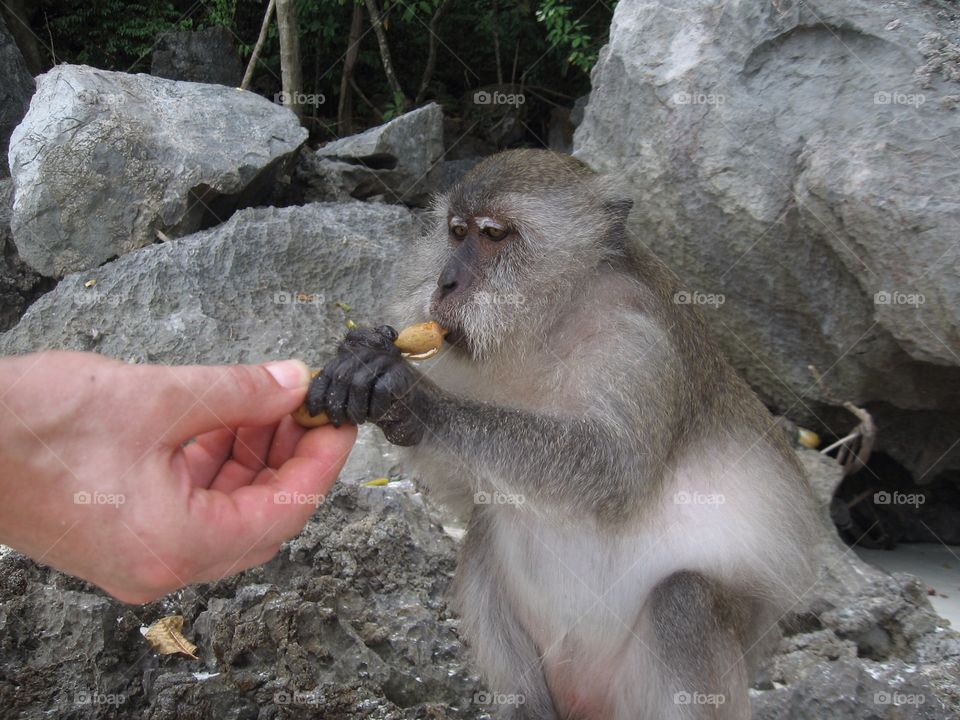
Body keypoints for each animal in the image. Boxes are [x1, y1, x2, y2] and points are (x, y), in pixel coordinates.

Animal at [306, 149, 820, 719]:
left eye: (493, 234)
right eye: (456, 231)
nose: (445, 282)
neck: (551, 324)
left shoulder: (638, 342)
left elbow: (612, 471)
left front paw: (413, 396)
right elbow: (470, 493)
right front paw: (361, 358)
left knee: (684, 599)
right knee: (485, 527)